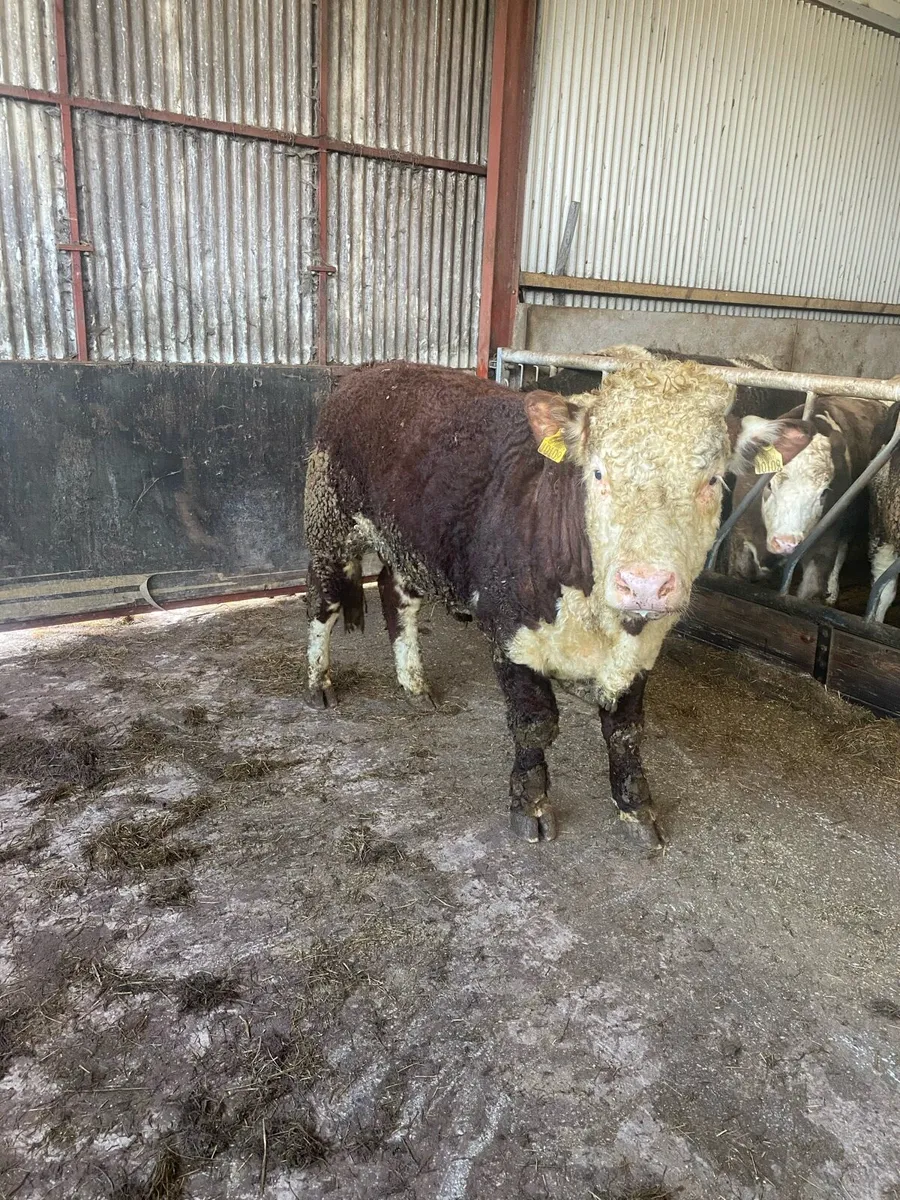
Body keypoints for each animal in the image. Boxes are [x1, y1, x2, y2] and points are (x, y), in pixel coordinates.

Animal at [304, 357, 748, 849]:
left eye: (712, 479)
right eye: (598, 473)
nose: (645, 584)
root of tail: (370, 370)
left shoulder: (643, 645)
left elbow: (625, 731)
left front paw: (636, 807)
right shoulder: (512, 628)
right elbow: (535, 723)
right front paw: (530, 805)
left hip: (414, 542)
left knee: (395, 597)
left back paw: (414, 685)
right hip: (329, 519)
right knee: (323, 601)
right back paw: (319, 683)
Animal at [727, 395, 890, 604]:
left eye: (823, 493)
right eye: (769, 485)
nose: (786, 542)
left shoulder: (824, 543)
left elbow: (811, 591)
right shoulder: (740, 533)